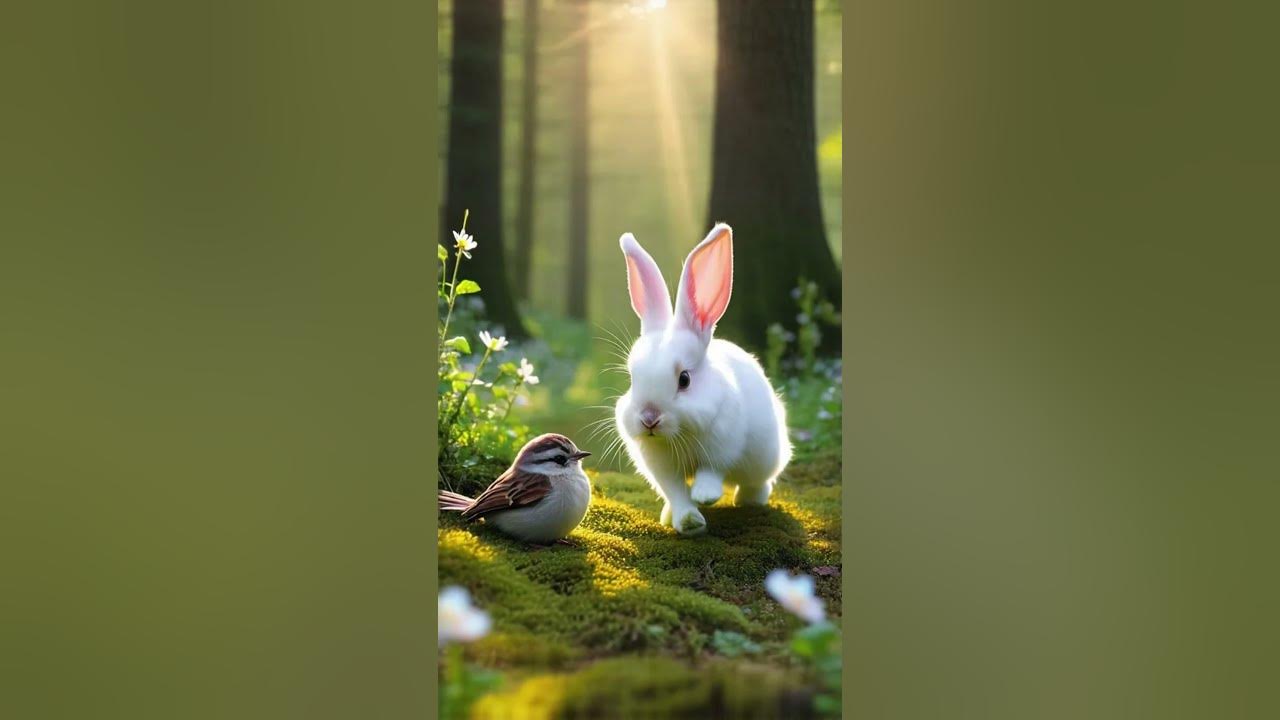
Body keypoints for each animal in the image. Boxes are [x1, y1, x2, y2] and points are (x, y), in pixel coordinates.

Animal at [614, 223, 791, 535]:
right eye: (633, 379)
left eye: (684, 379)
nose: (649, 419)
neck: (679, 435)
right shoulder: (662, 466)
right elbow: (675, 491)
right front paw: (688, 520)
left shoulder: (722, 447)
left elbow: (711, 472)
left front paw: (705, 496)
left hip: (764, 458)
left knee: (757, 482)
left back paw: (749, 500)